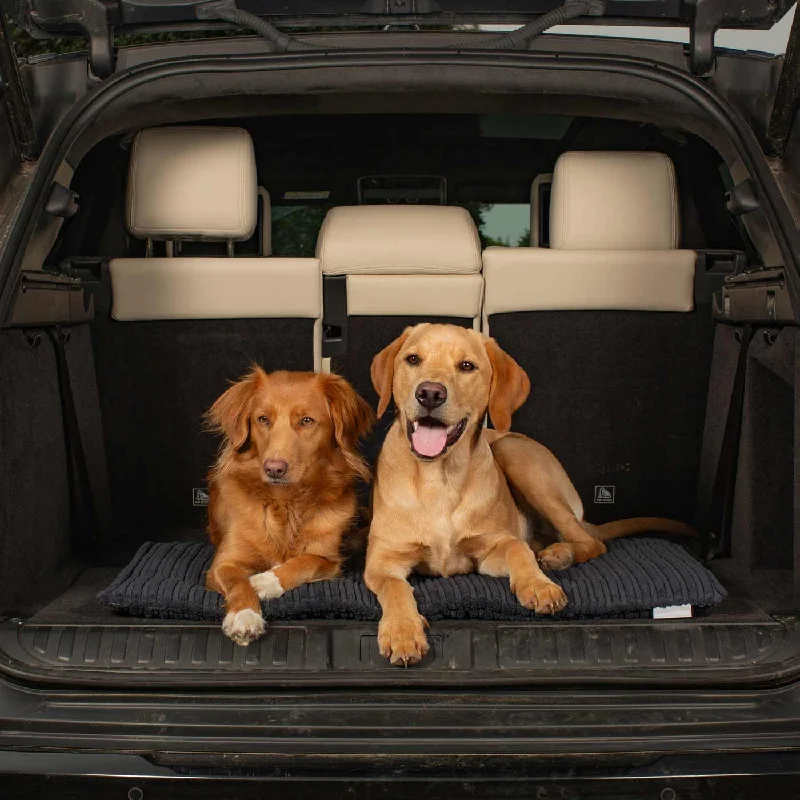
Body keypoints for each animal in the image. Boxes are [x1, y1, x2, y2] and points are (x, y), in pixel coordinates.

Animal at [203, 368, 372, 644]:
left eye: (307, 421)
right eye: (262, 419)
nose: (274, 468)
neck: (286, 503)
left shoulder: (327, 559)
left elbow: (302, 563)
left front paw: (264, 581)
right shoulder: (223, 563)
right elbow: (238, 582)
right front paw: (244, 615)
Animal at [366, 322, 696, 664]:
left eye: (467, 366)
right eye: (412, 359)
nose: (430, 393)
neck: (438, 478)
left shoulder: (489, 551)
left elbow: (516, 548)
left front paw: (537, 585)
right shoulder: (382, 561)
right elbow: (394, 587)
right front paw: (403, 630)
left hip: (515, 454)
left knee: (588, 542)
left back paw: (557, 557)